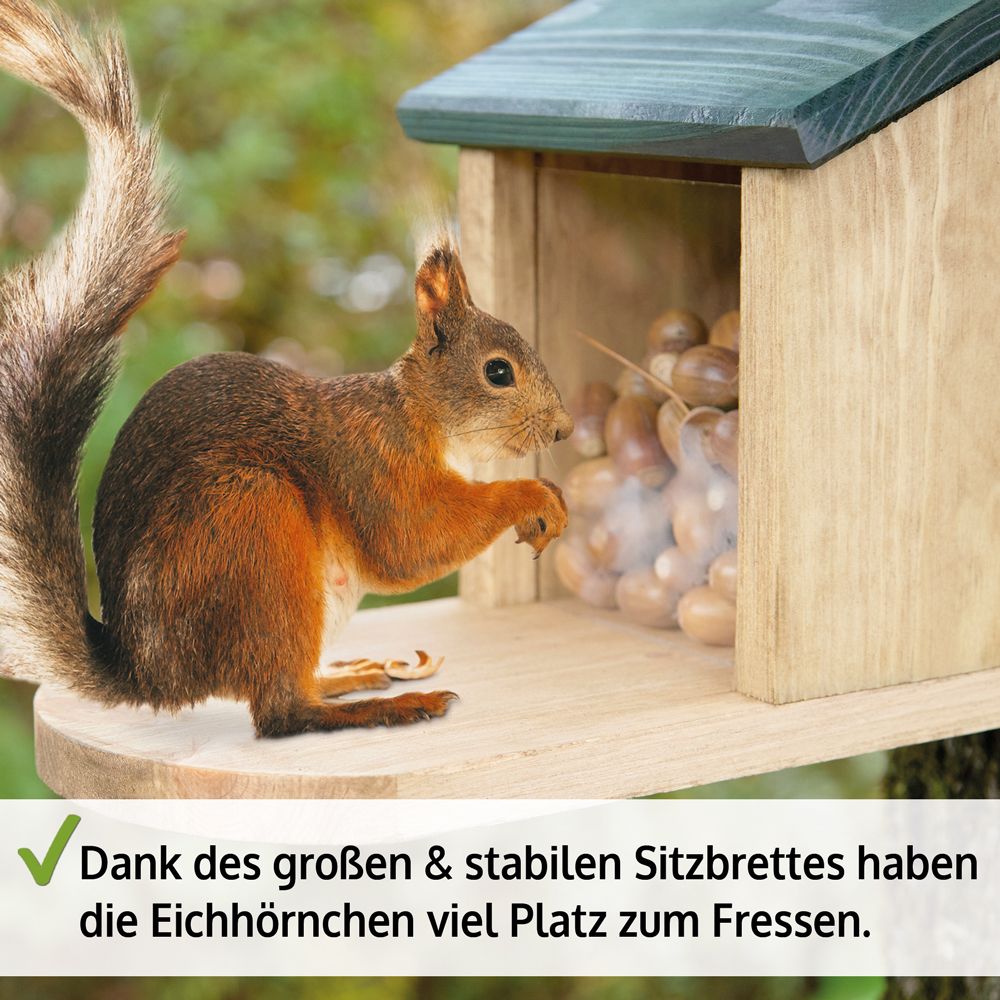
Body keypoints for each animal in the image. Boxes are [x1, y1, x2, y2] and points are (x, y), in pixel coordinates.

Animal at [0, 0, 573, 738]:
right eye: (498, 373)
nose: (561, 430)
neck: (421, 417)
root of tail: (154, 673)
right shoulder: (371, 463)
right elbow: (411, 540)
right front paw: (533, 497)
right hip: (253, 526)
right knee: (279, 711)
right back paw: (385, 704)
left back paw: (350, 676)